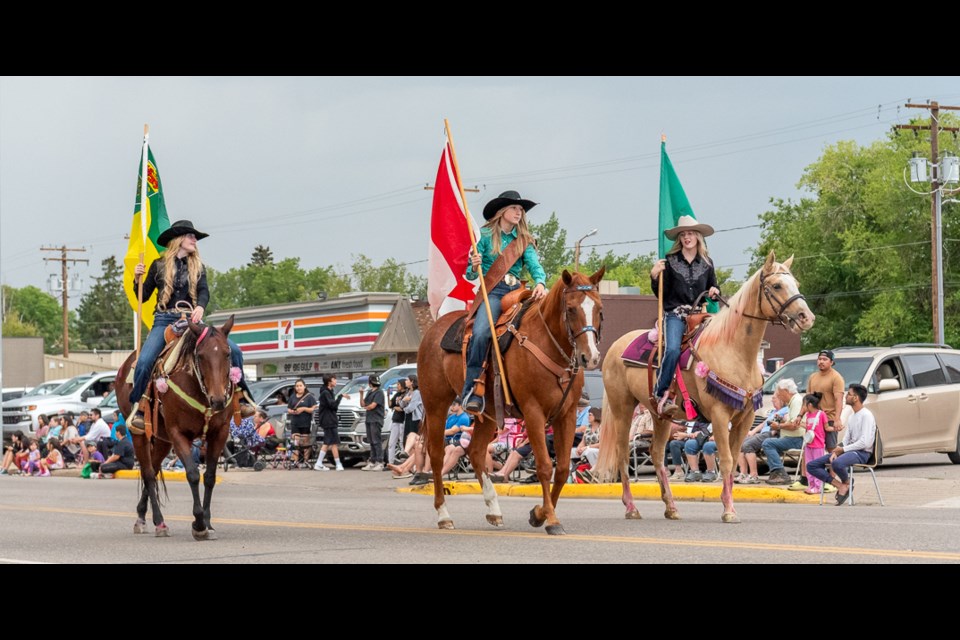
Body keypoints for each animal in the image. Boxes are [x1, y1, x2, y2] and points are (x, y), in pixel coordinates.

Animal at [114, 318, 238, 536]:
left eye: (227, 354)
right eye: (200, 355)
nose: (218, 400)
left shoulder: (219, 433)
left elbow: (210, 477)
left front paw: (207, 522)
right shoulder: (178, 433)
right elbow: (193, 474)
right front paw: (198, 524)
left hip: (162, 440)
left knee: (153, 470)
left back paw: (142, 515)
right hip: (139, 435)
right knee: (148, 473)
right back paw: (158, 522)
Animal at [418, 266, 604, 536]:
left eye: (599, 308)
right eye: (570, 309)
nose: (590, 357)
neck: (546, 344)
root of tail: (434, 329)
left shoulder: (566, 414)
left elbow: (561, 469)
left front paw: (539, 514)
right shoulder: (533, 412)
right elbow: (544, 466)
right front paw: (552, 519)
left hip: (487, 413)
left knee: (475, 452)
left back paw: (494, 510)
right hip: (436, 405)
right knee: (436, 455)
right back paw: (444, 515)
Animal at [596, 252, 812, 524]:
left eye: (797, 284)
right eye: (776, 286)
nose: (807, 318)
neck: (734, 350)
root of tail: (615, 347)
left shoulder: (744, 417)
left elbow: (732, 459)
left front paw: (728, 504)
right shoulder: (719, 415)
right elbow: (727, 460)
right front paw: (729, 510)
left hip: (659, 415)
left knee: (657, 454)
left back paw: (671, 507)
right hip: (622, 409)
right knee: (623, 455)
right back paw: (631, 507)